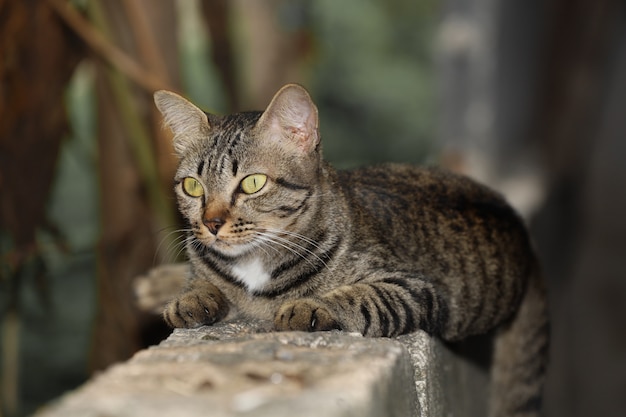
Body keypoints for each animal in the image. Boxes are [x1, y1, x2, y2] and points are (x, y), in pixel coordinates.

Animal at [151, 83, 544, 414]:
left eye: (253, 183)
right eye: (192, 186)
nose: (211, 223)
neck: (255, 263)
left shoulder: (419, 290)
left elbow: (361, 297)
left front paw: (311, 306)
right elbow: (201, 281)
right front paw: (191, 298)